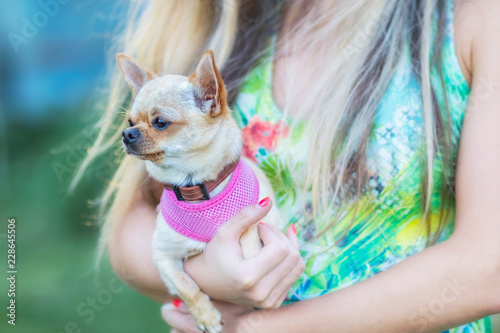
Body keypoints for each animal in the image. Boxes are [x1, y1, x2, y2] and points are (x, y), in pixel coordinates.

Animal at [116, 50, 282, 332]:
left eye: (160, 123)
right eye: (130, 121)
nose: (127, 133)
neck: (194, 187)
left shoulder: (261, 222)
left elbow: (250, 239)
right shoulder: (162, 257)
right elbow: (185, 287)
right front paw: (206, 316)